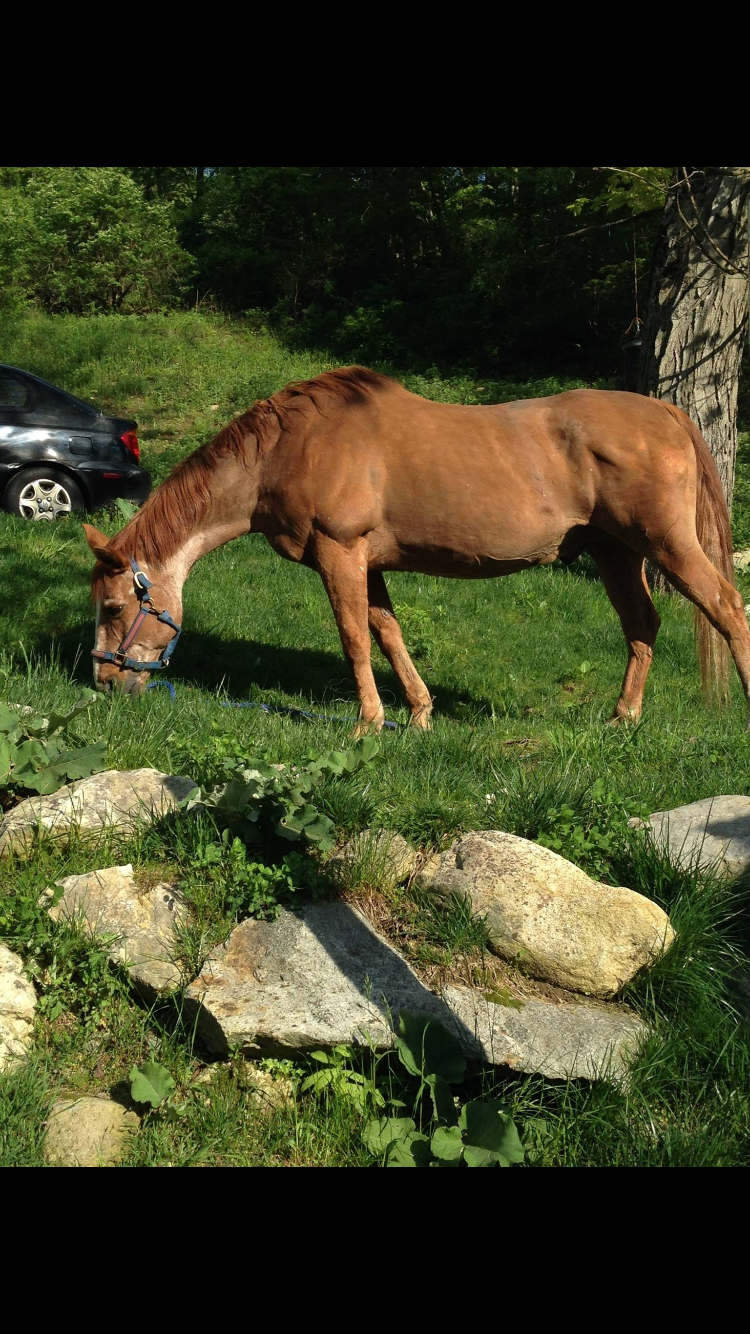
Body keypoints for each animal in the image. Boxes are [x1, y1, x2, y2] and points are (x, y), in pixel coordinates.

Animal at [81, 368, 747, 731]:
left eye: (113, 607)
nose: (105, 683)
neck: (289, 449)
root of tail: (666, 411)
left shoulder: (339, 552)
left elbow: (354, 636)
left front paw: (368, 722)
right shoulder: (366, 562)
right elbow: (387, 631)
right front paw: (420, 712)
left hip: (666, 544)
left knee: (726, 606)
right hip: (615, 553)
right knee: (642, 624)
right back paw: (622, 717)